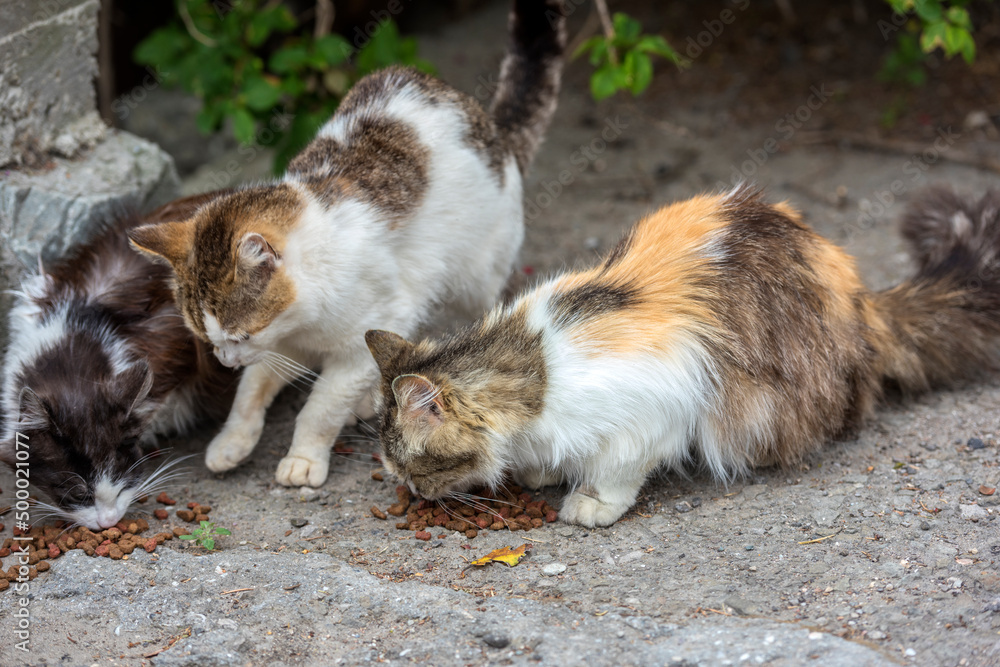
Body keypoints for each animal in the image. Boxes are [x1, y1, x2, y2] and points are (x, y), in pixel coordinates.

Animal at [129, 1, 568, 490]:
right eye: (205, 337)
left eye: (239, 334)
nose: (225, 361)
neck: (301, 322)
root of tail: (492, 128)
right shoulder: (282, 343)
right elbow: (252, 391)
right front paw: (233, 440)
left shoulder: (367, 330)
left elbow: (320, 407)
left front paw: (304, 457)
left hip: (476, 277)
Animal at [364, 184, 1000, 528]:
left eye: (413, 467)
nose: (411, 493)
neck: (531, 364)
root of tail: (862, 297)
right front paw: (542, 469)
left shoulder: (658, 405)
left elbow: (619, 470)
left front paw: (590, 503)